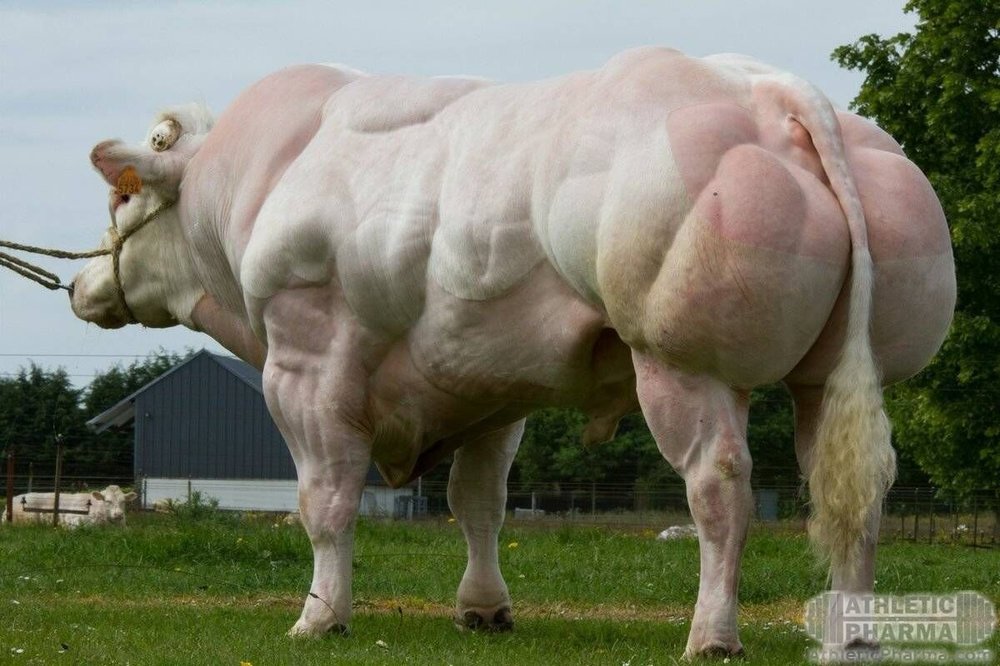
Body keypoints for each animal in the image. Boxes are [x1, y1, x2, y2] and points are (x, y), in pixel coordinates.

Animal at [68, 47, 955, 658]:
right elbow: (479, 502)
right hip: (832, 378)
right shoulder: (484, 383)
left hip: (683, 361)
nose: (79, 283)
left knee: (719, 487)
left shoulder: (305, 364)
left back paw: (712, 634)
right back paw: (852, 634)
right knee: (854, 496)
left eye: (123, 196)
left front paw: (320, 617)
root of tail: (768, 91)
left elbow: (325, 502)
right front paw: (483, 607)